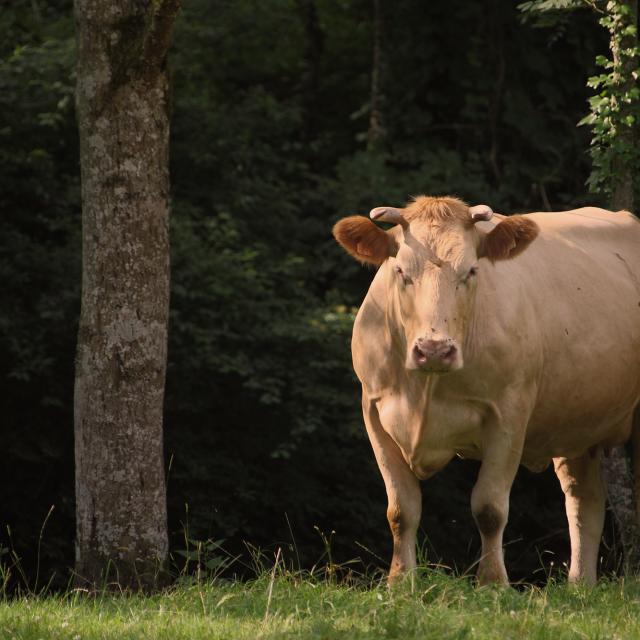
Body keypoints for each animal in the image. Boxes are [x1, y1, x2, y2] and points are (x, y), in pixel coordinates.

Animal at [332, 195, 640, 584]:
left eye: (471, 271)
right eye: (400, 271)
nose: (434, 349)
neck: (425, 390)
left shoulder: (508, 416)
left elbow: (489, 508)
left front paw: (492, 582)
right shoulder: (374, 413)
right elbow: (401, 509)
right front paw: (400, 581)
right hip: (575, 422)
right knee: (584, 502)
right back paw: (580, 585)